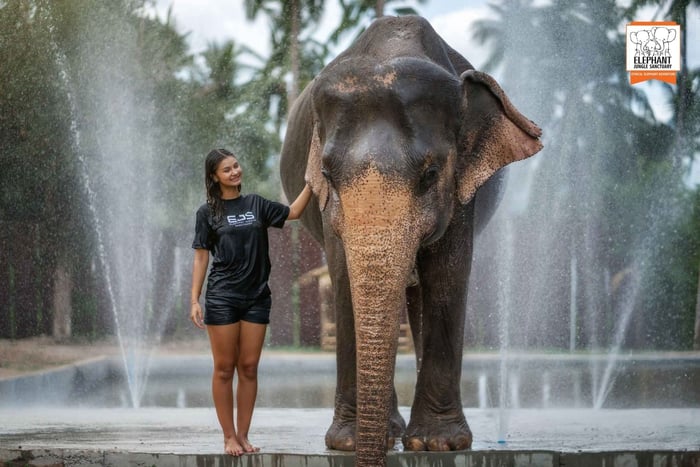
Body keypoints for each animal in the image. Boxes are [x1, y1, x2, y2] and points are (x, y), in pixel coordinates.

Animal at [280, 15, 542, 467]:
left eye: (431, 174)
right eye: (326, 174)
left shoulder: (461, 192)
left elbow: (448, 276)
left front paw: (440, 444)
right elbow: (344, 279)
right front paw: (347, 443)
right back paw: (390, 432)